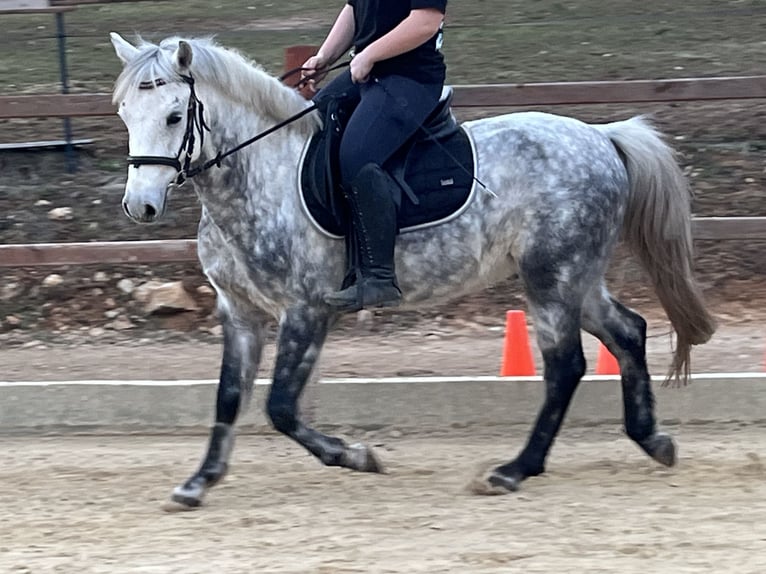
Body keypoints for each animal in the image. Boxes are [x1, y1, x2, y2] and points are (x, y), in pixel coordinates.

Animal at [109, 33, 720, 508]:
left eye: (173, 116)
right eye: (125, 115)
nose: (140, 206)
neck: (261, 175)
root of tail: (603, 137)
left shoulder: (306, 310)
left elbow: (280, 406)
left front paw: (355, 455)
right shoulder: (239, 312)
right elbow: (229, 399)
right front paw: (199, 482)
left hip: (552, 277)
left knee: (566, 366)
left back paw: (514, 470)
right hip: (576, 277)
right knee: (628, 332)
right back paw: (651, 440)